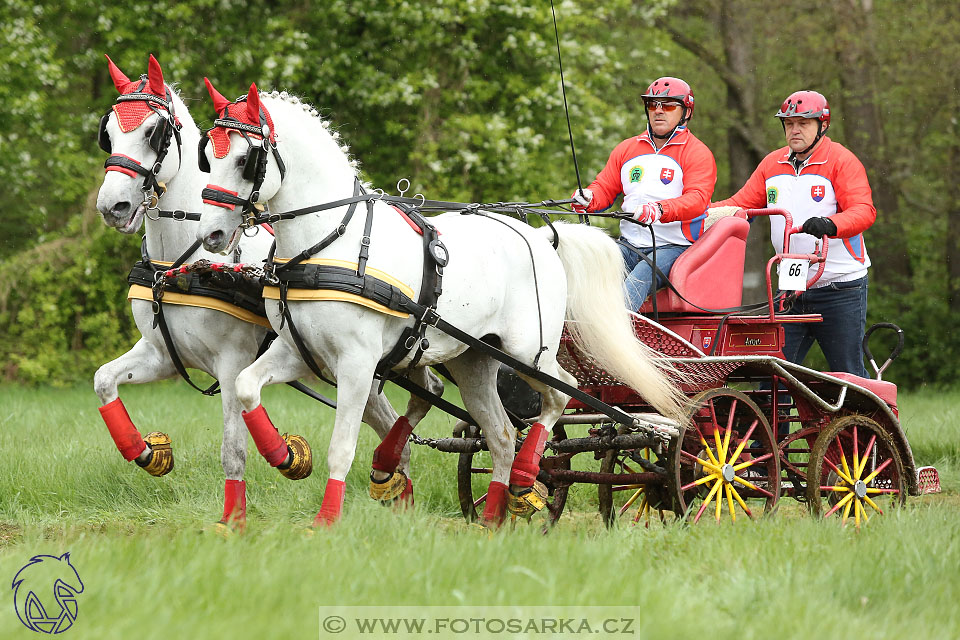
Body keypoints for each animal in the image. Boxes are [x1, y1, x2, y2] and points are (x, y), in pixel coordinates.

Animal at [94, 55, 438, 528]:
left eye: (153, 132)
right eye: (107, 132)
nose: (113, 206)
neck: (182, 263)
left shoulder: (231, 360)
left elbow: (233, 450)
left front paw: (245, 506)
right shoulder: (161, 353)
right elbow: (104, 380)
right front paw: (147, 452)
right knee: (396, 420)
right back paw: (396, 488)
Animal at [197, 80, 688, 528]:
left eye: (244, 159)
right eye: (208, 156)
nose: (212, 235)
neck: (332, 243)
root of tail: (543, 237)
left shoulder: (357, 363)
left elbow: (341, 447)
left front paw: (325, 522)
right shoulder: (298, 350)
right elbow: (245, 386)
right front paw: (283, 455)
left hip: (530, 352)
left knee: (559, 394)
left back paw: (527, 474)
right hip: (474, 360)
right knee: (500, 434)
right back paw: (492, 518)